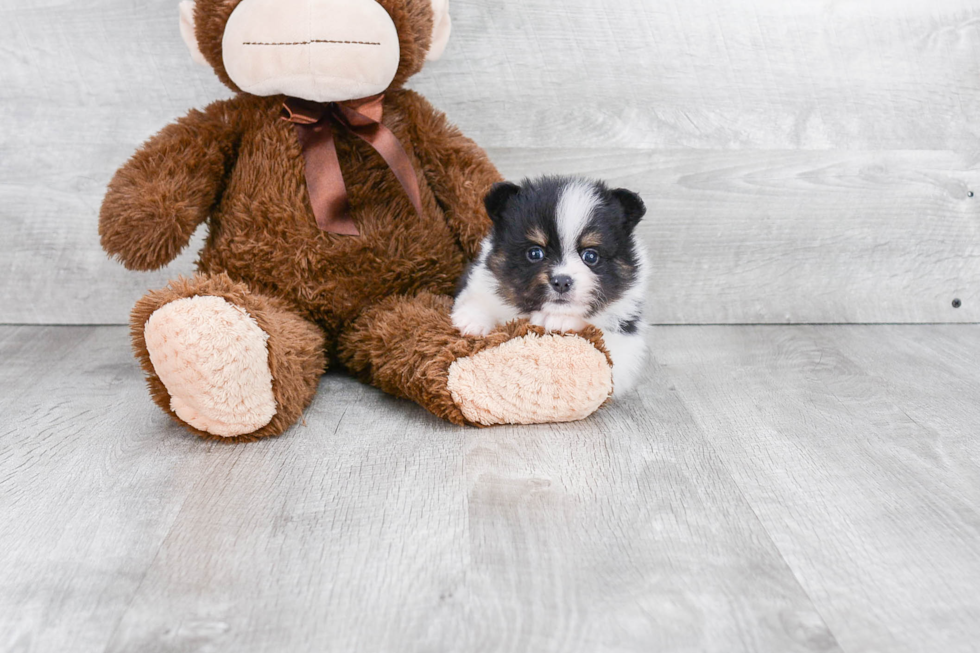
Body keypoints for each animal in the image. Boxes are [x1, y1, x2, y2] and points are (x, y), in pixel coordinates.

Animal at [452, 173, 652, 394]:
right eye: (535, 253)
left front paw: (561, 321)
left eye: (590, 256)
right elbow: (479, 299)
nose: (562, 281)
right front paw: (472, 319)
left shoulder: (624, 343)